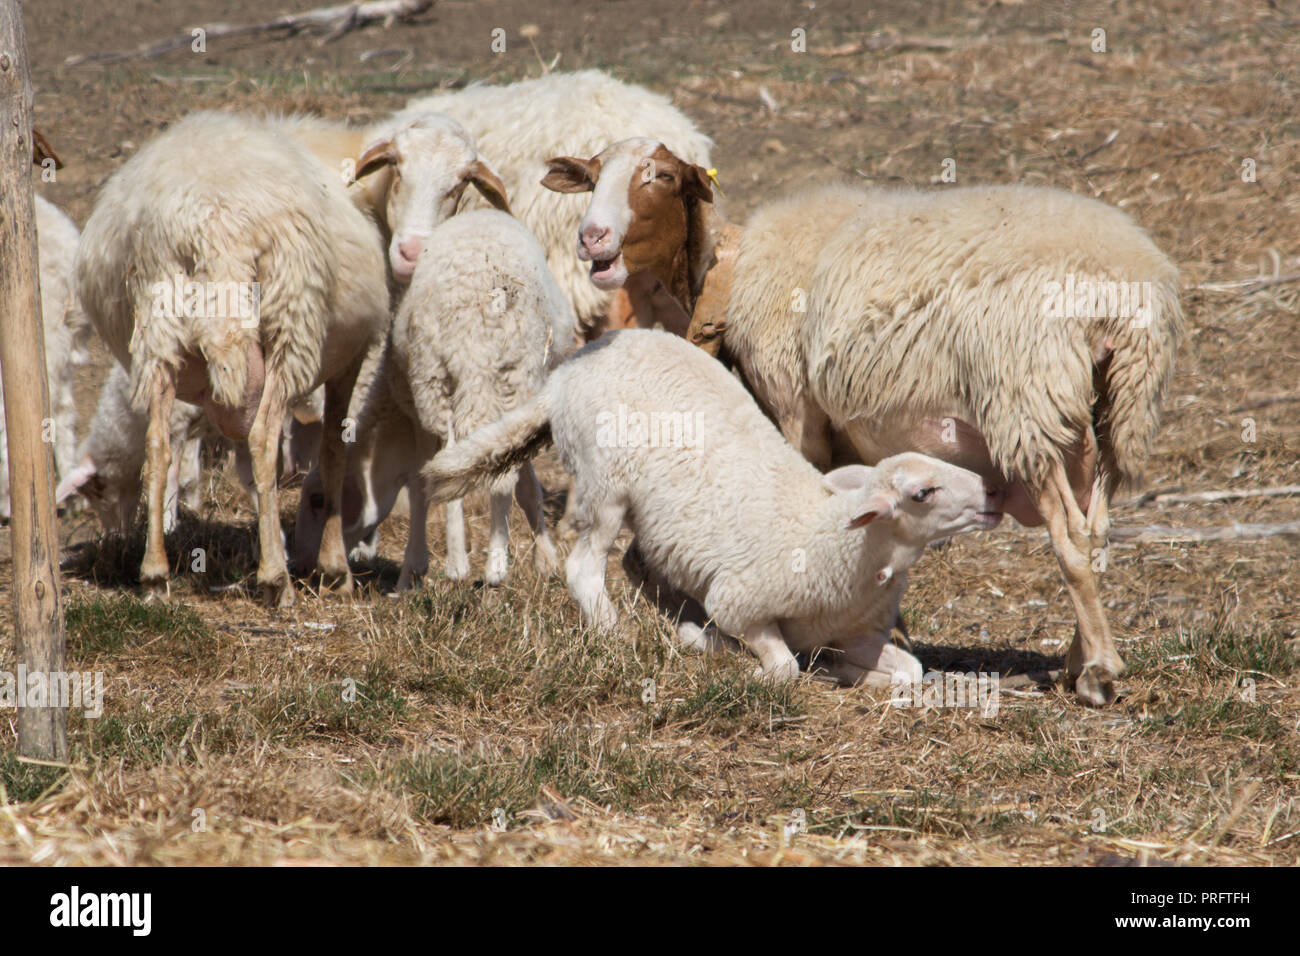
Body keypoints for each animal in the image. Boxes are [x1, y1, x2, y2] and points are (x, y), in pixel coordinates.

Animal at [69, 110, 506, 606]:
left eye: (460, 184)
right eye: (398, 168)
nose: (412, 254)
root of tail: (209, 220)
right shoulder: (351, 356)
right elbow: (334, 452)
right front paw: (333, 570)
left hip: (158, 329)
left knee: (158, 445)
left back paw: (155, 575)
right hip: (291, 325)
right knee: (262, 436)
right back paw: (276, 581)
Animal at [295, 209, 569, 590]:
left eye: (316, 499)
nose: (301, 568)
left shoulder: (416, 416)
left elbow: (421, 486)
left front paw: (411, 573)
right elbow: (524, 482)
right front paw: (546, 560)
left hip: (436, 381)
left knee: (450, 458)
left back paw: (458, 564)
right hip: (516, 374)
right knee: (495, 469)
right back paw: (495, 566)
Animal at [543, 143, 1185, 712]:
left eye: (663, 177)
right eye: (592, 174)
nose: (592, 237)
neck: (723, 269)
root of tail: (1126, 290)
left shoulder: (795, 406)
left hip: (1027, 400)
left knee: (1070, 538)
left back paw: (1098, 673)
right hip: (1108, 418)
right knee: (1096, 534)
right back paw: (1081, 658)